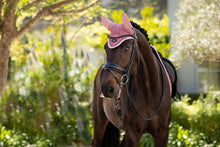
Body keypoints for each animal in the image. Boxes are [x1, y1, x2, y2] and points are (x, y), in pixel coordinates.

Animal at [92, 12, 178, 147]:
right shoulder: (132, 133)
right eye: (106, 47)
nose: (107, 88)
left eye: (127, 47)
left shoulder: (162, 133)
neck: (149, 91)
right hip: (100, 122)